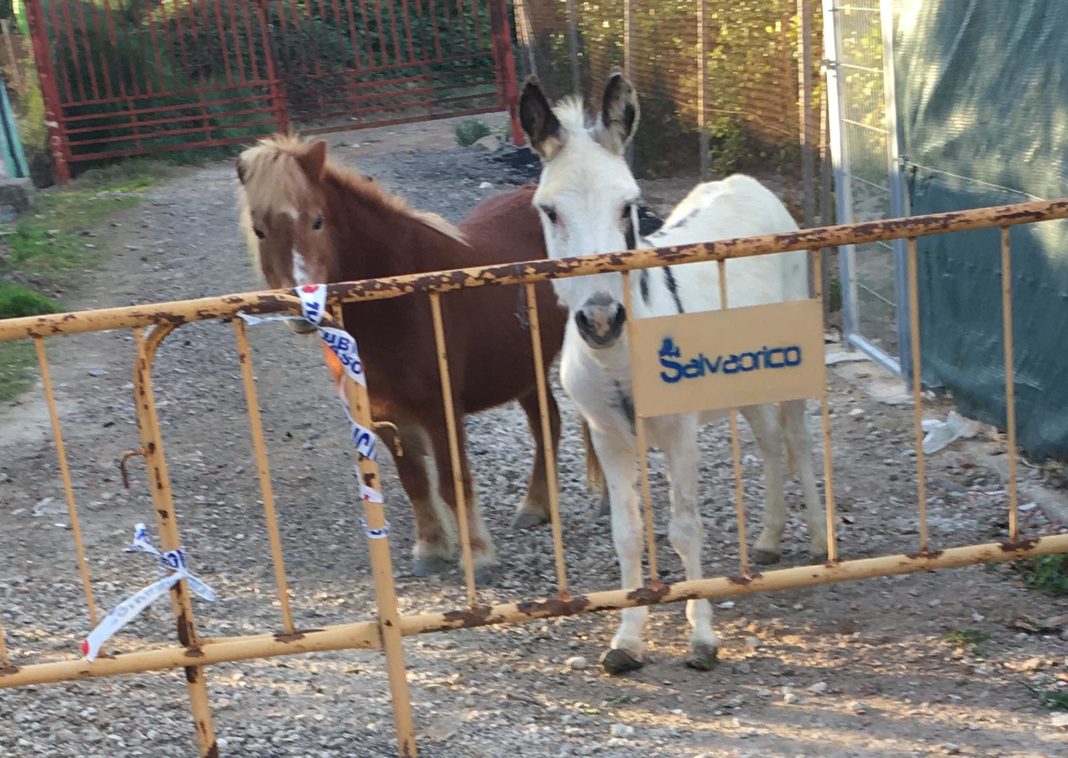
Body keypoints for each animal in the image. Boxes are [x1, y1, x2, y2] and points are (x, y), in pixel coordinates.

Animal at [237, 135, 572, 580]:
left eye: (317, 221)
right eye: (260, 231)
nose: (302, 309)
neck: (396, 298)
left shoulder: (440, 409)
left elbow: (452, 481)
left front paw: (478, 556)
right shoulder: (383, 414)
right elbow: (415, 481)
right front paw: (432, 548)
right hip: (524, 368)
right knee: (547, 424)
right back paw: (536, 506)